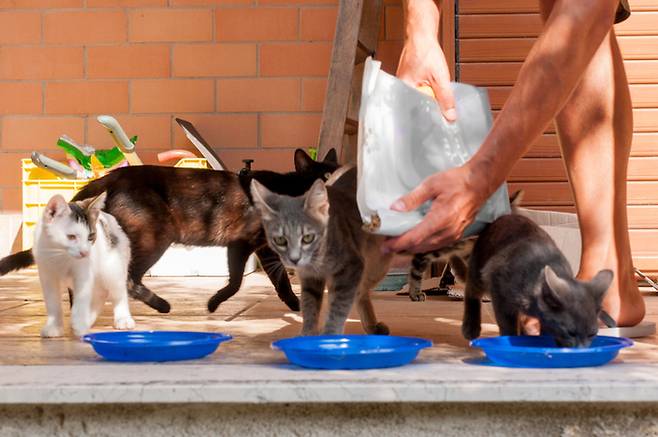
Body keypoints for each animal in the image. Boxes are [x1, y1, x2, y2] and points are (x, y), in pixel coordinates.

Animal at [0, 150, 336, 314]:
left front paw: (297, 309)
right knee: (129, 279)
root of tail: (114, 177)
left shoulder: (257, 247)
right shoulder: (245, 243)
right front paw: (214, 304)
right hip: (155, 236)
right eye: (324, 177)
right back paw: (161, 306)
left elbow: (273, 283)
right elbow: (242, 281)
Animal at [35, 192, 135, 338]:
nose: (85, 252)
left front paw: (80, 325)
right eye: (71, 237)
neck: (61, 255)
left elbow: (81, 299)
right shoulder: (47, 275)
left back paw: (123, 319)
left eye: (91, 236)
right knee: (101, 293)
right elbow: (52, 302)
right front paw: (54, 327)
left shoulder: (83, 273)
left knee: (118, 292)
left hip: (113, 268)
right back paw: (89, 318)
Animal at [247, 166, 390, 334]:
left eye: (308, 237)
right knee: (360, 292)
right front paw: (308, 334)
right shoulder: (310, 278)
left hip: (377, 264)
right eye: (280, 240)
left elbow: (338, 307)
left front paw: (330, 334)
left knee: (359, 291)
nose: (294, 259)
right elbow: (310, 307)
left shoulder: (350, 268)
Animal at [462, 212, 608, 348]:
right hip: (479, 270)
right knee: (471, 291)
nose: (581, 348)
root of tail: (505, 215)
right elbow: (507, 325)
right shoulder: (499, 291)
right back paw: (471, 327)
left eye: (592, 334)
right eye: (571, 332)